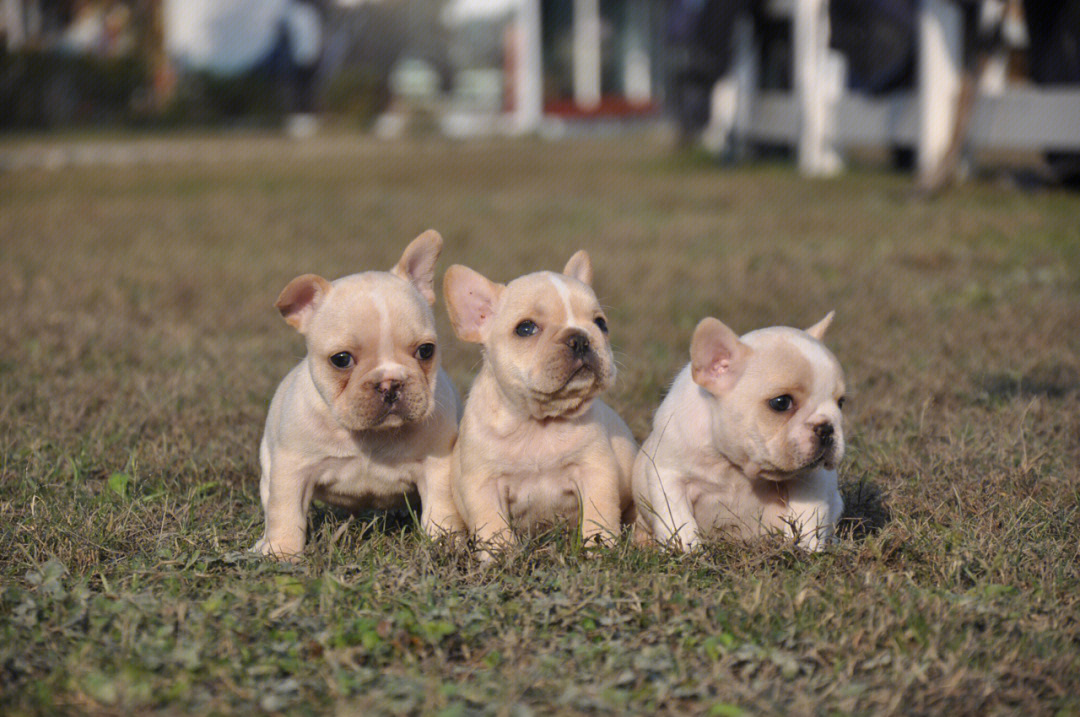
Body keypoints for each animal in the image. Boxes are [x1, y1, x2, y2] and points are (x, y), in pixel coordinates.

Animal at [253, 231, 464, 561]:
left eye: (426, 351)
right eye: (341, 359)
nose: (390, 383)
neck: (371, 436)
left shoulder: (436, 466)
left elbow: (441, 510)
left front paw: (445, 544)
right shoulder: (292, 469)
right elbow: (285, 512)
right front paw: (282, 552)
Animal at [440, 251, 635, 552]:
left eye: (601, 323)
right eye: (526, 328)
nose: (580, 338)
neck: (538, 423)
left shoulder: (595, 470)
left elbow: (597, 513)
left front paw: (600, 547)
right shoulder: (484, 484)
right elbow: (493, 524)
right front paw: (501, 554)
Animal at [630, 310, 842, 550]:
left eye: (841, 403)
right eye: (781, 403)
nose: (826, 428)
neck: (735, 465)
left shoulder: (811, 481)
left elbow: (807, 517)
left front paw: (803, 549)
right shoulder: (670, 476)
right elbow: (679, 520)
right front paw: (689, 551)